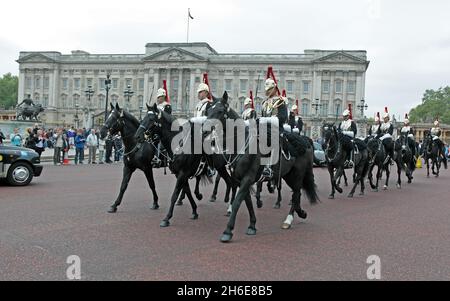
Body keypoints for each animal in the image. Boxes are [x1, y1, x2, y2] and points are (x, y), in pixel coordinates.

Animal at [206, 91, 318, 241]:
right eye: (209, 110)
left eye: (220, 111)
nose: (204, 130)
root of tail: (306, 140)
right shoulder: (241, 179)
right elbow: (247, 202)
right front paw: (252, 225)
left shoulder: (247, 178)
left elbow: (237, 202)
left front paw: (228, 231)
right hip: (288, 175)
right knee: (297, 193)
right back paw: (301, 213)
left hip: (298, 174)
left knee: (296, 193)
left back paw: (288, 220)